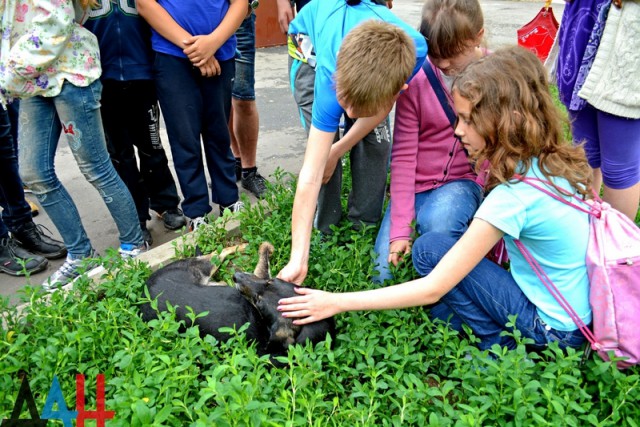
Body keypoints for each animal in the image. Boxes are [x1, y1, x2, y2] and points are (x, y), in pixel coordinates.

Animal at [139, 244, 336, 358]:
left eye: (258, 302)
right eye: (270, 282)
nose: (236, 276)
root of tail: (146, 288)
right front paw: (265, 248)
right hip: (207, 267)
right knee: (218, 252)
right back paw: (243, 245)